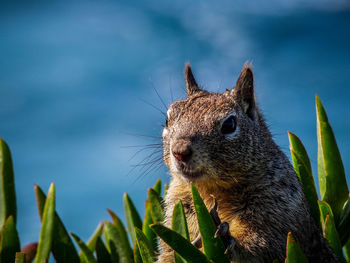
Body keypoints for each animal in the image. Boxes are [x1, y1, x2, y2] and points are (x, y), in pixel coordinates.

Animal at [158, 63, 340, 262]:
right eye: (167, 119)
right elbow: (168, 253)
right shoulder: (178, 206)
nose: (179, 152)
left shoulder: (279, 207)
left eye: (229, 124)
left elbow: (262, 247)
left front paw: (225, 238)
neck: (211, 190)